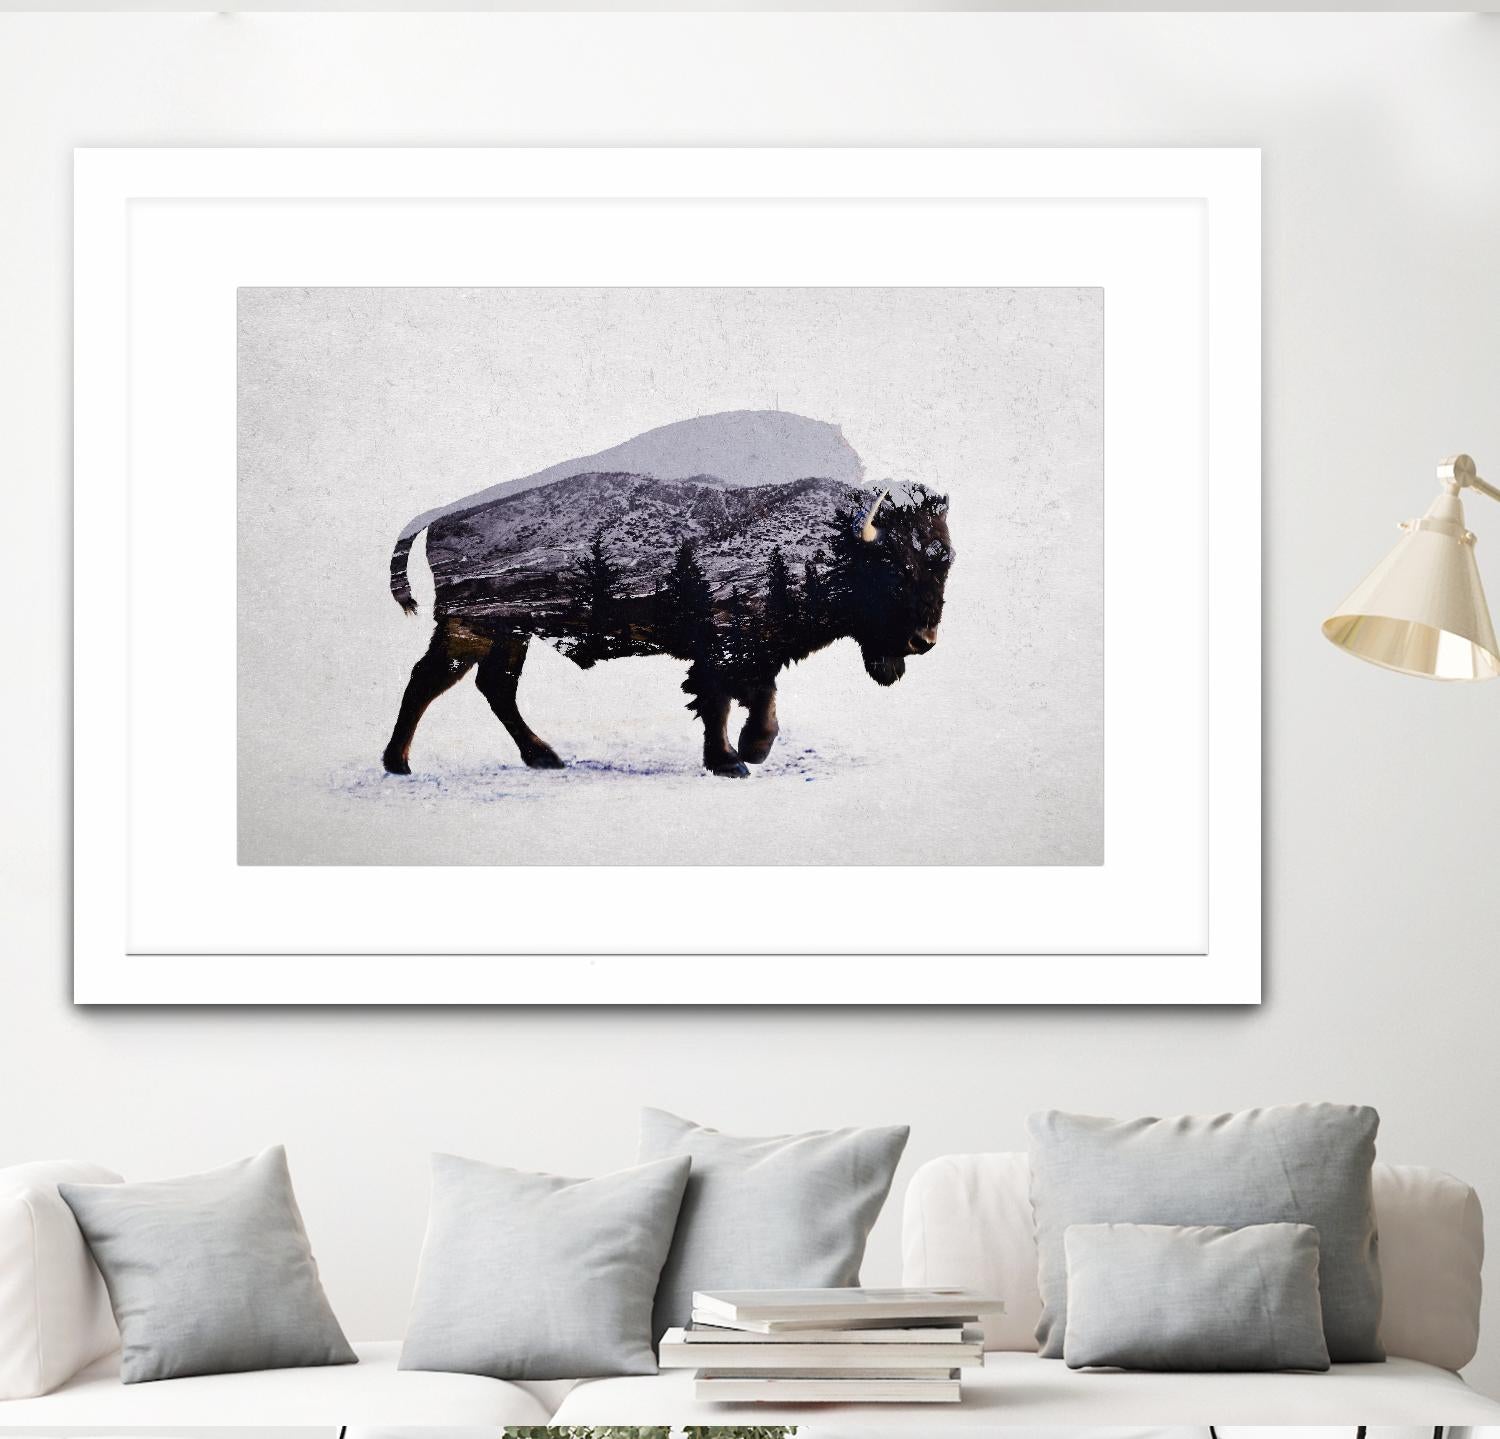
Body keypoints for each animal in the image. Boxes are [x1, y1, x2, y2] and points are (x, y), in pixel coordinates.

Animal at [383, 410, 953, 778]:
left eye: (943, 563)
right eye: (896, 568)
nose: (924, 641)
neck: (828, 536)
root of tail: (440, 516)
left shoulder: (759, 649)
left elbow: (759, 699)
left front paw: (752, 750)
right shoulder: (725, 646)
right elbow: (720, 699)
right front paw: (732, 761)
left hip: (510, 630)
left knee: (494, 687)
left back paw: (544, 757)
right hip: (470, 627)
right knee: (429, 681)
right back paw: (399, 764)